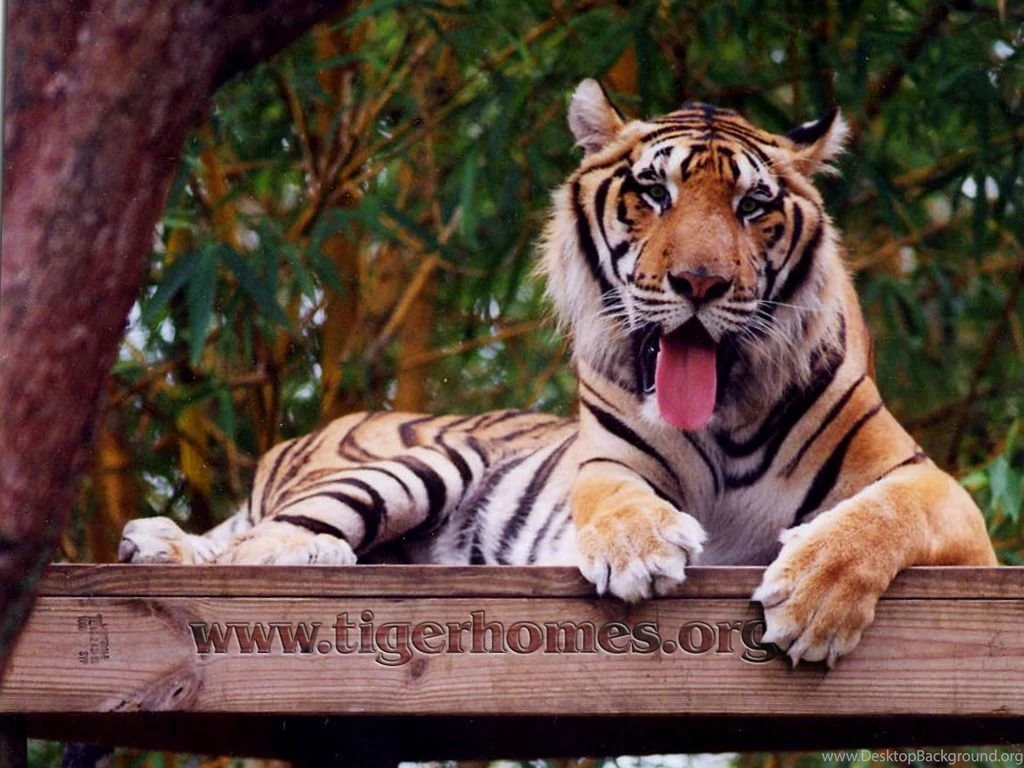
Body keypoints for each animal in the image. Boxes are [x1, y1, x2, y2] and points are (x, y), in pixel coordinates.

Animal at [120, 78, 996, 667]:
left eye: (752, 206)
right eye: (654, 192)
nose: (701, 284)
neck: (725, 415)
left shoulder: (941, 495)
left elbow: (881, 518)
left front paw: (814, 598)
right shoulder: (606, 461)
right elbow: (617, 500)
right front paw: (641, 548)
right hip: (415, 461)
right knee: (260, 542)